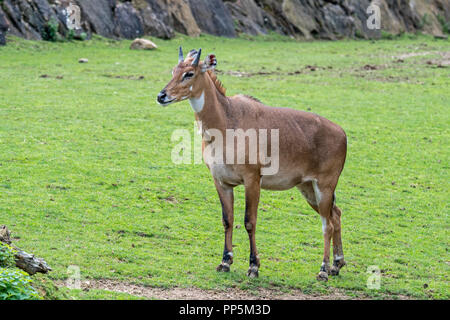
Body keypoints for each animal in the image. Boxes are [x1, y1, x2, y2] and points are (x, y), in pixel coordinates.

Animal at [158, 47, 348, 280]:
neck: (225, 123)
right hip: (308, 188)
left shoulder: (252, 179)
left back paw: (323, 270)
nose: (162, 96)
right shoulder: (221, 181)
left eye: (189, 73)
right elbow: (227, 219)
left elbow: (250, 221)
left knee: (327, 224)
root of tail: (342, 133)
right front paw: (225, 261)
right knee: (336, 214)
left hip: (324, 186)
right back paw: (336, 265)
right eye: (174, 70)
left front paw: (253, 266)